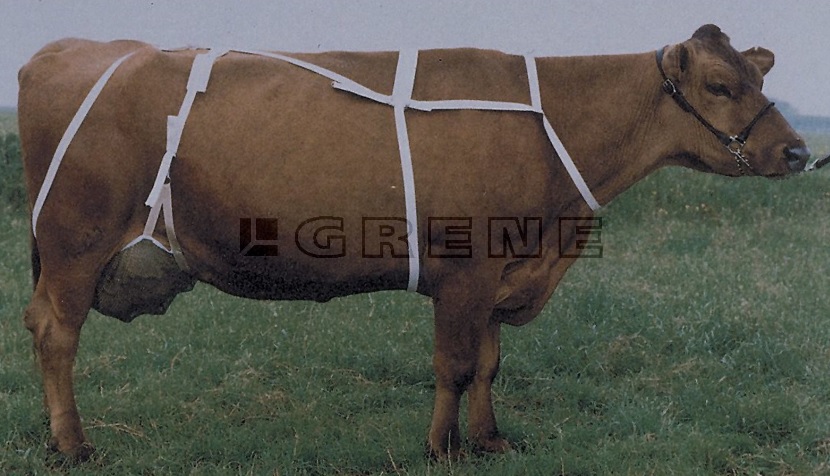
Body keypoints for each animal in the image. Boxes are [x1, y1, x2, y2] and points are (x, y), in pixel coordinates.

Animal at [17, 24, 810, 462]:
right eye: (719, 85)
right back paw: (74, 445)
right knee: (56, 334)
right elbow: (454, 365)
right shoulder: (466, 269)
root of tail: (61, 51)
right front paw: (441, 448)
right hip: (75, 242)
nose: (800, 151)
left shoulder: (500, 267)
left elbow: (489, 363)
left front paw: (489, 441)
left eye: (758, 74)